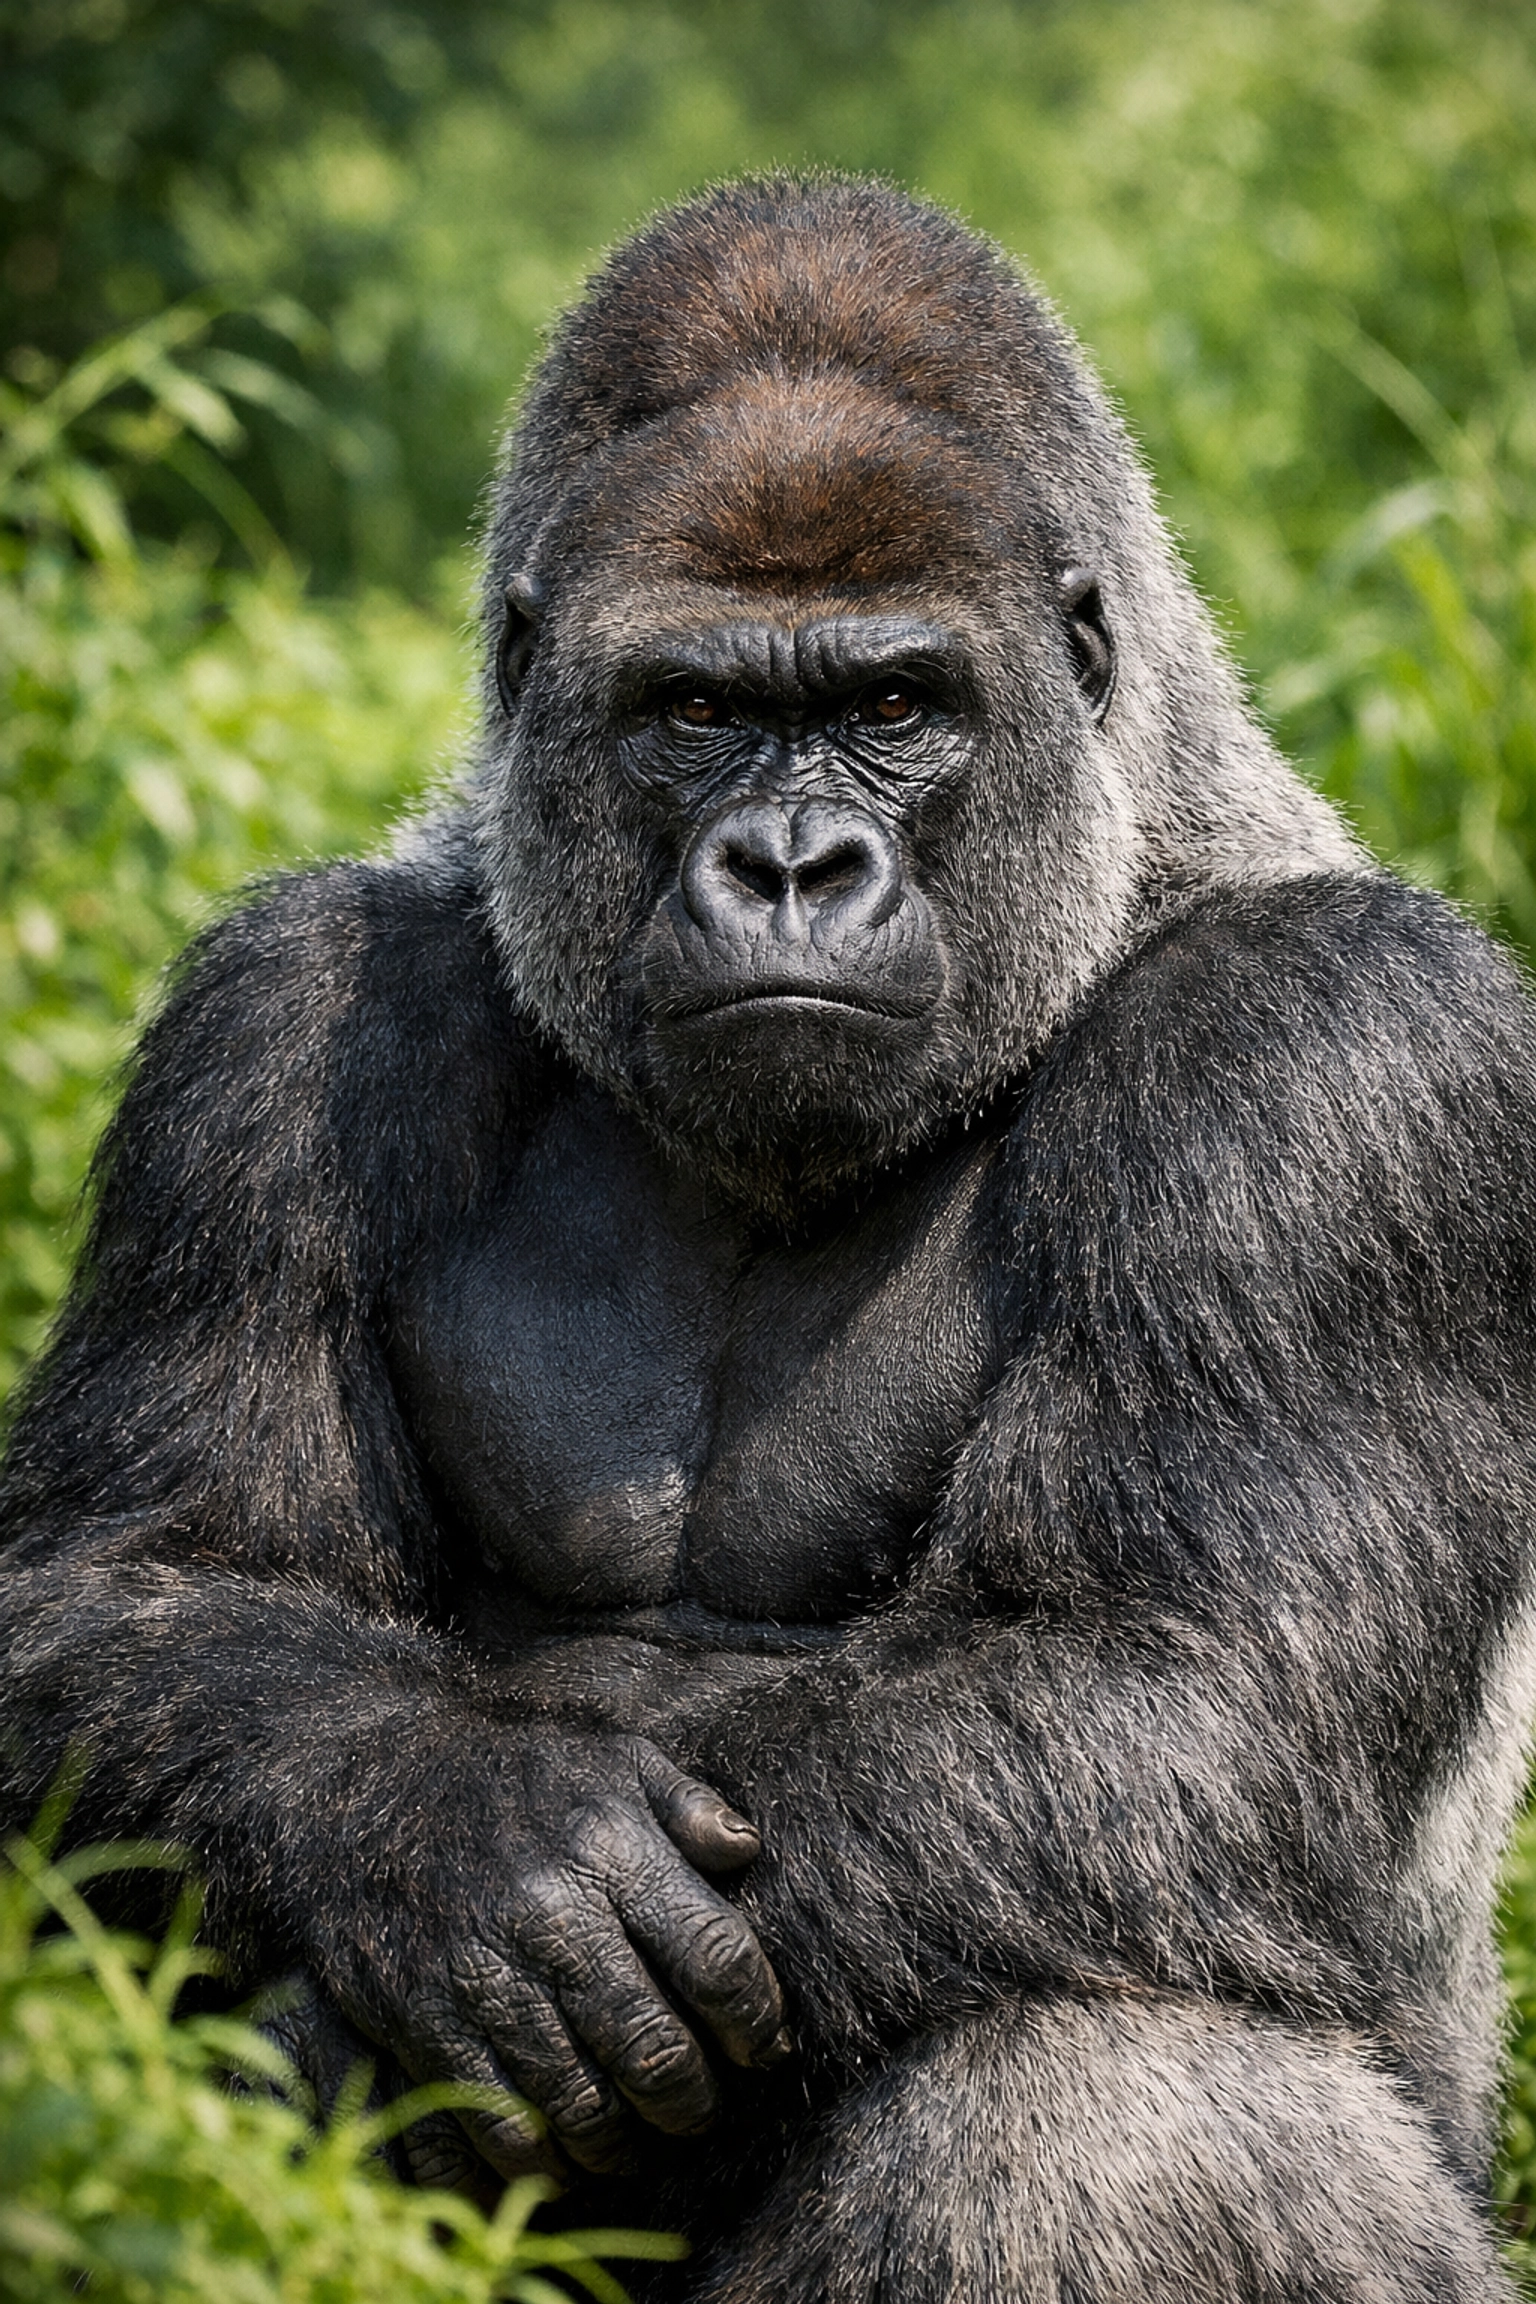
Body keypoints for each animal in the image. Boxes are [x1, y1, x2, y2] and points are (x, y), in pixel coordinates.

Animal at [2, 173, 1535, 2302]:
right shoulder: (274, 1025)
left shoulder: (1338, 1052)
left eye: (893, 704)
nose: (793, 864)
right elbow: (124, 1587)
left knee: (1106, 2106)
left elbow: (1185, 1675)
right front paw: (463, 1841)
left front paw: (373, 2017)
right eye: (699, 709)